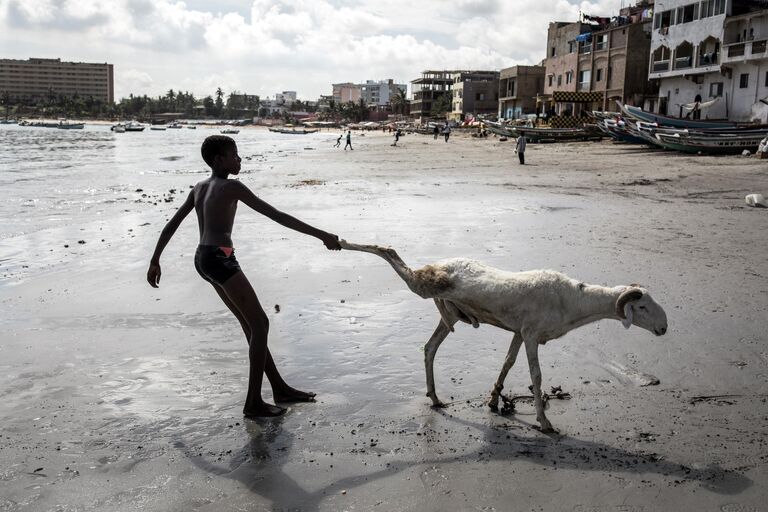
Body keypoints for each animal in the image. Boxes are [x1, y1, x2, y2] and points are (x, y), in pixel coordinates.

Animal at [338, 240, 664, 432]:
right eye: (642, 306)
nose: (664, 328)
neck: (575, 300)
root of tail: (441, 262)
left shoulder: (519, 332)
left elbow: (507, 362)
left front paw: (494, 399)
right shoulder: (531, 333)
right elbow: (536, 375)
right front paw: (544, 422)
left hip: (450, 315)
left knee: (429, 348)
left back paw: (435, 398)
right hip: (423, 283)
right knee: (389, 252)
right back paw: (338, 241)